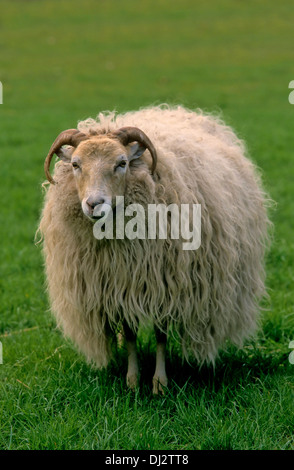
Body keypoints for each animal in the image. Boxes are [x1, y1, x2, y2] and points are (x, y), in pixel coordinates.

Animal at [39, 105, 272, 392]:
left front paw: (159, 383)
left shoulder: (165, 284)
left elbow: (161, 335)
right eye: (75, 164)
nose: (94, 204)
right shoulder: (118, 286)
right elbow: (130, 334)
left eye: (122, 163)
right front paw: (132, 380)